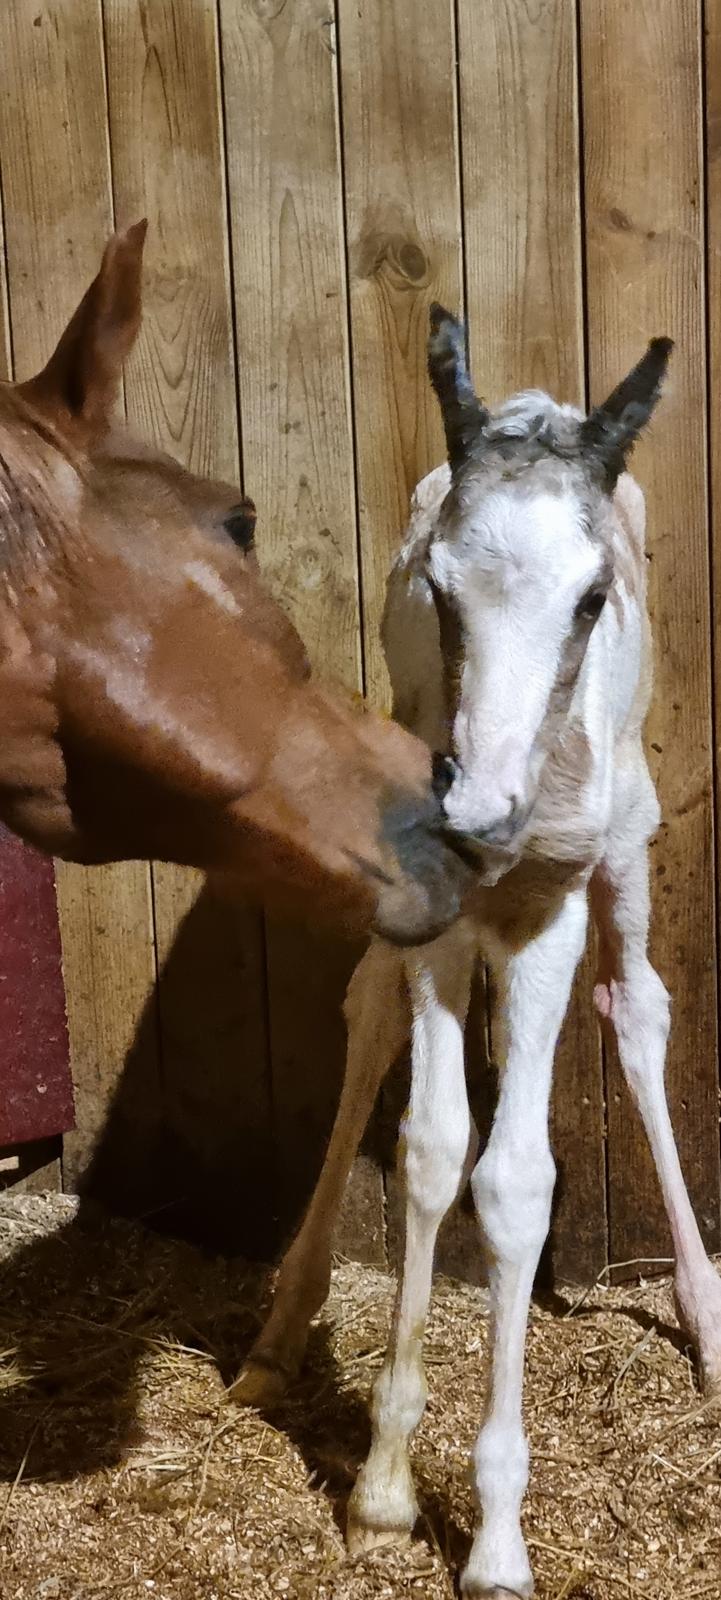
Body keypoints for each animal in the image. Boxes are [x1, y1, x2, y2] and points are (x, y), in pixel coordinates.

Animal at [233, 305, 721, 1593]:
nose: (482, 814)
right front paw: (382, 1490)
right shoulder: (435, 904)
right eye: (439, 591)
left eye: (592, 597)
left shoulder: (549, 909)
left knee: (637, 1008)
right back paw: (275, 1335)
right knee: (367, 1010)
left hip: (630, 837)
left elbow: (514, 1180)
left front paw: (495, 1534)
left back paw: (707, 1316)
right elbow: (432, 1144)